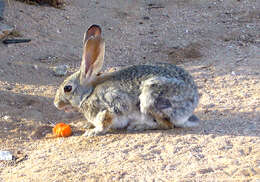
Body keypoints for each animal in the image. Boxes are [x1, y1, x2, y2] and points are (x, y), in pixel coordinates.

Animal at [53, 24, 199, 137]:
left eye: (67, 88)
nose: (56, 104)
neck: (88, 94)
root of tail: (191, 103)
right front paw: (86, 125)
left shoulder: (110, 106)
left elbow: (105, 121)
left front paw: (93, 132)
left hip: (150, 98)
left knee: (167, 124)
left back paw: (138, 126)